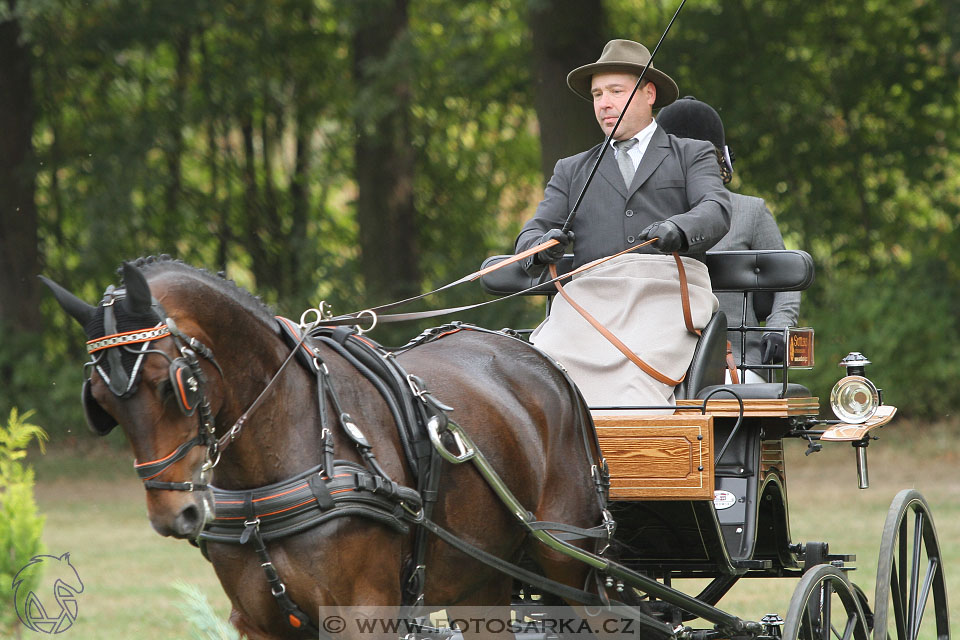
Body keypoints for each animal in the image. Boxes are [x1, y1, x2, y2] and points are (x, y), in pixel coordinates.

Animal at [43, 258, 608, 636]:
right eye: (100, 403)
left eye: (170, 385)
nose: (173, 514)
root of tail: (540, 360)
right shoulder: (258, 623)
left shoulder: (363, 614)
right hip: (481, 583)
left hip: (572, 565)